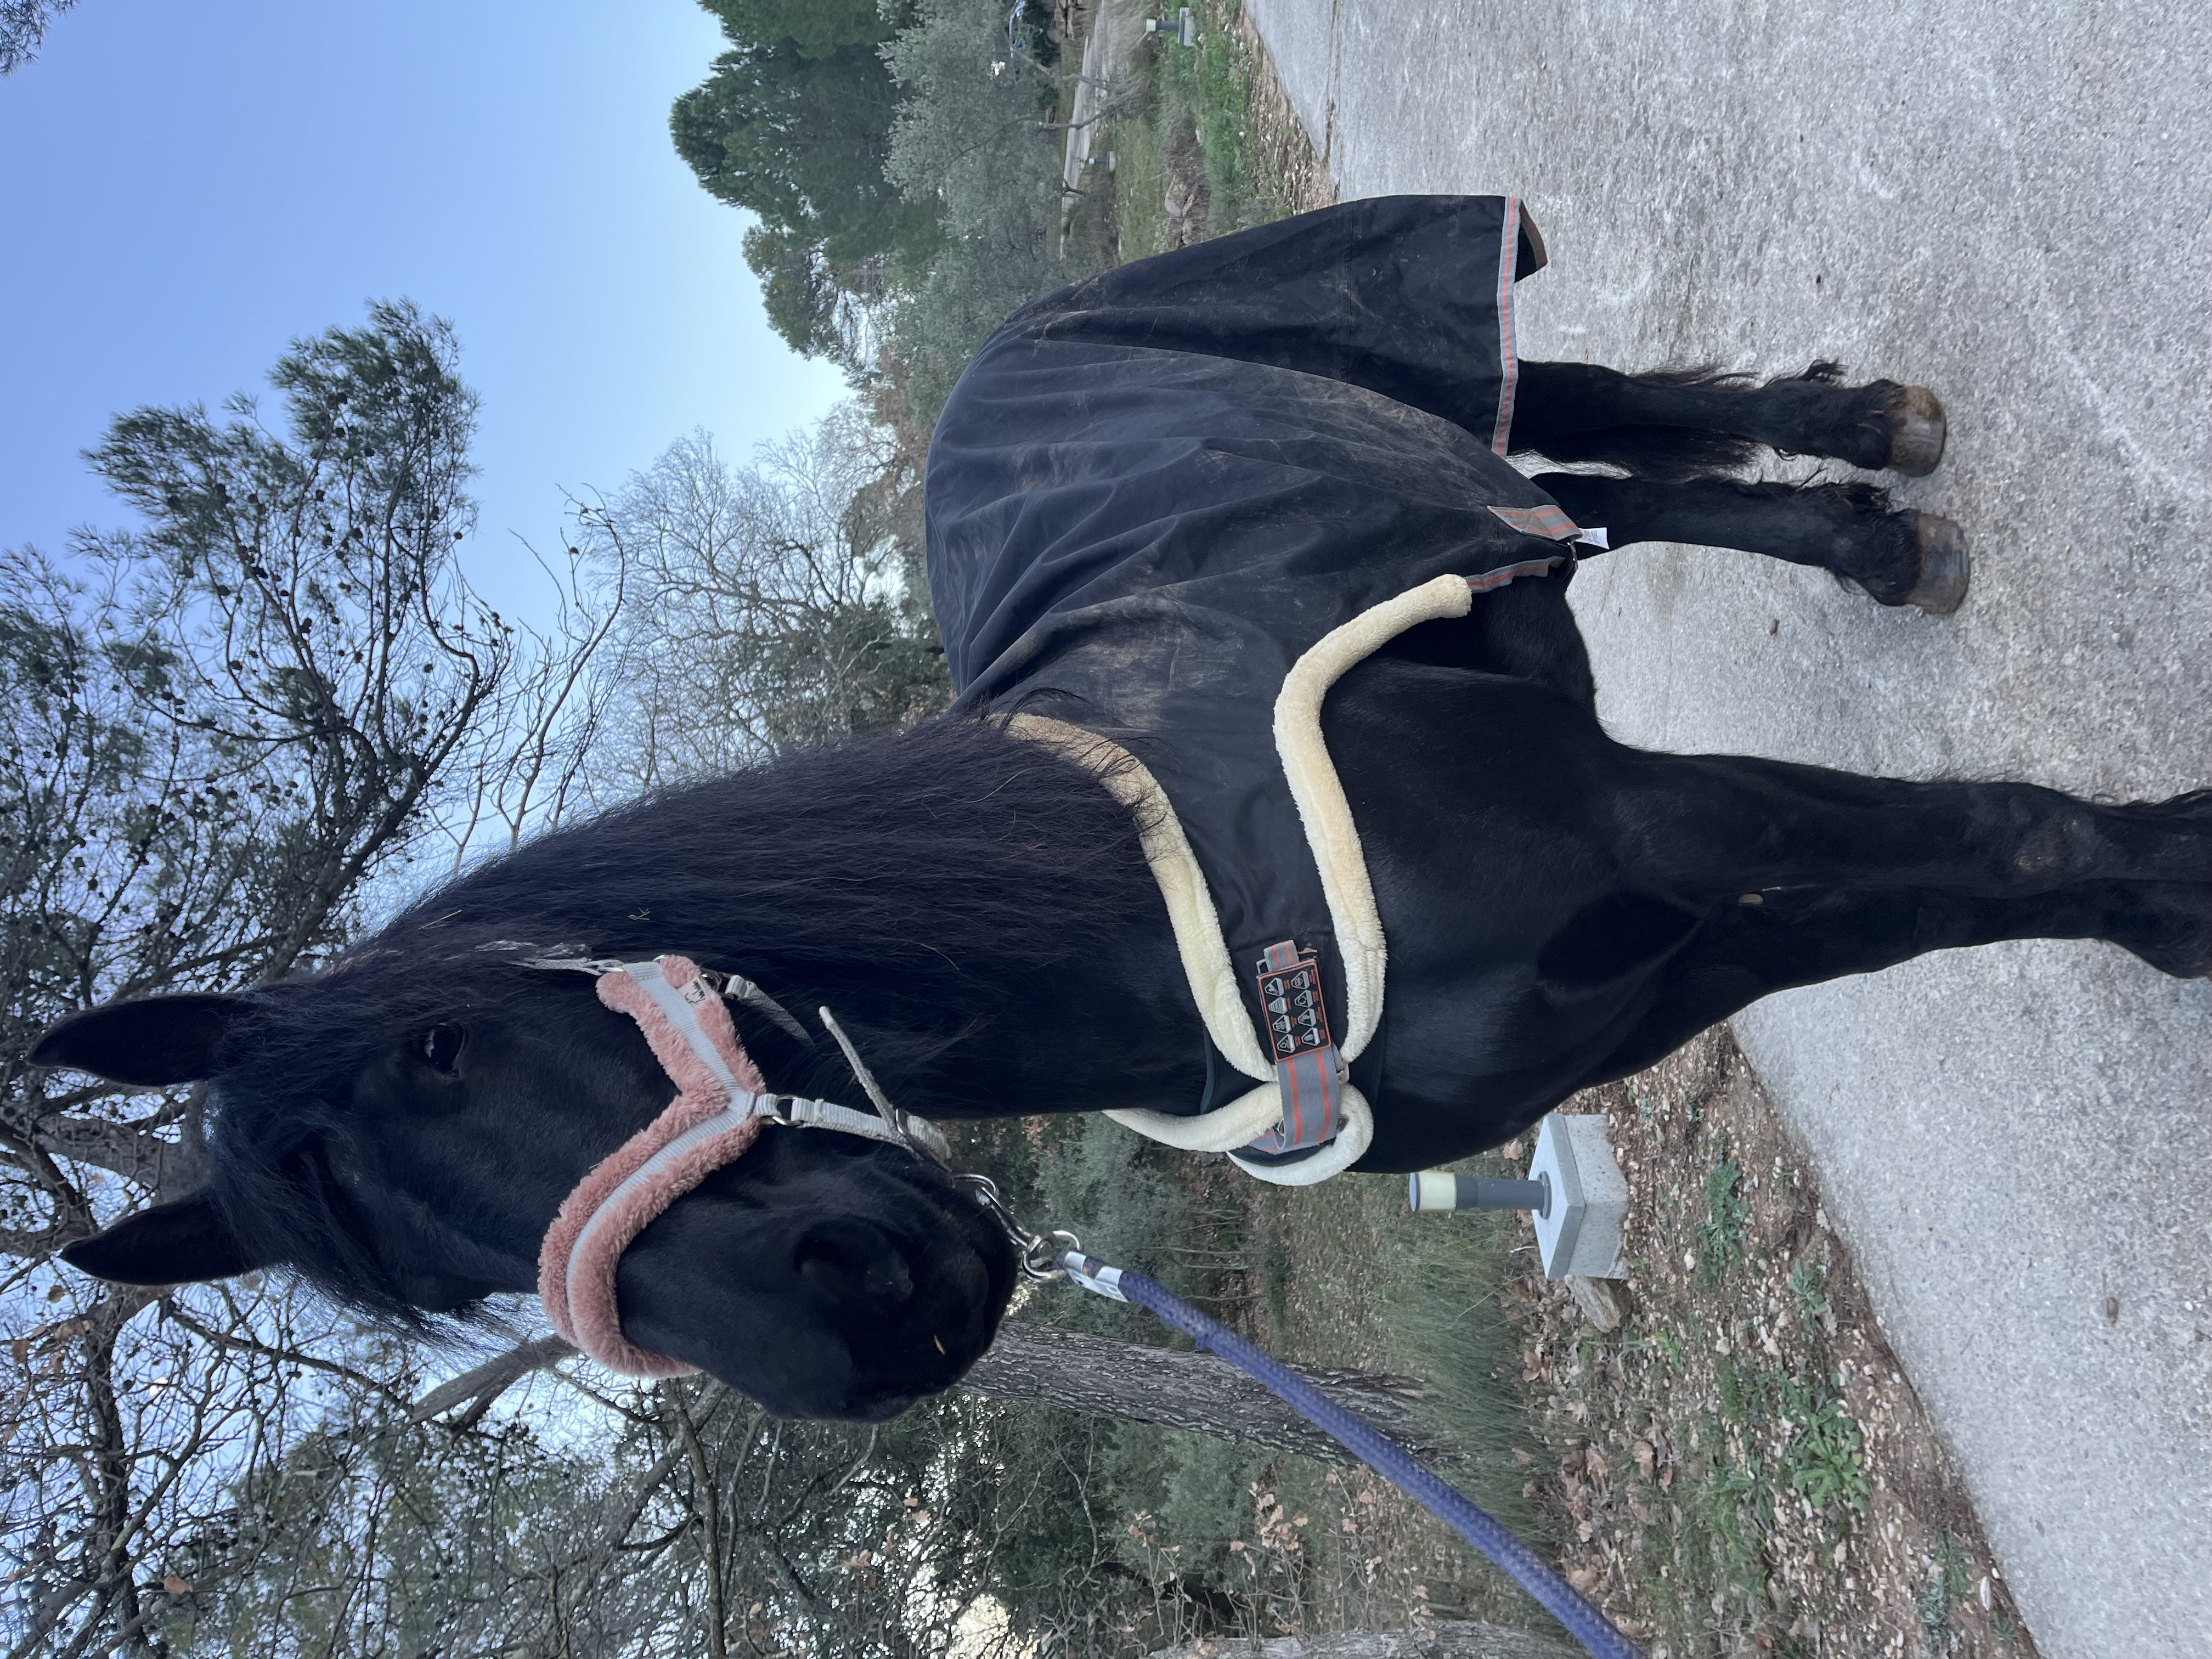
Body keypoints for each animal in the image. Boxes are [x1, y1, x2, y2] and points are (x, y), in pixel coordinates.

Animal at [35, 197, 2212, 1423]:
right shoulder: (1659, 960)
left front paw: (2184, 876)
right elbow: (1936, 894)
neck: (1134, 916)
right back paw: (1866, 537)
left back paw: (1874, 455)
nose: (868, 1334)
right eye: (452, 1285)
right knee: (1613, 491)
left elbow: (2005, 844)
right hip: (1471, 493)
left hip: (1448, 365)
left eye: (445, 1047)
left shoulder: (1663, 838)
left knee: (1625, 416)